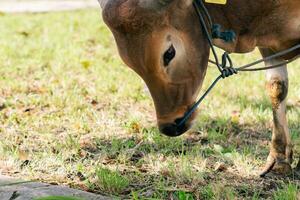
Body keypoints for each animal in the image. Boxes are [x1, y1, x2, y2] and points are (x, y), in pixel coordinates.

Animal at [99, 0, 300, 175]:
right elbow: (276, 87)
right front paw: (279, 159)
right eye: (130, 64)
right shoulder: (267, 45)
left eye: (169, 53)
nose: (169, 127)